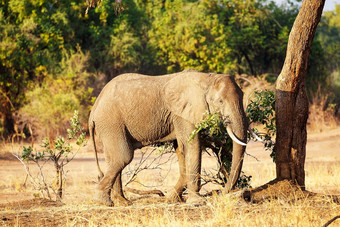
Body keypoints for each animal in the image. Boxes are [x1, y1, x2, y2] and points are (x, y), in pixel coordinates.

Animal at [89, 69, 250, 206]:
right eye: (220, 102)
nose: (222, 192)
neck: (206, 79)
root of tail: (94, 107)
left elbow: (180, 148)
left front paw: (172, 198)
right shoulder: (182, 113)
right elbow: (192, 145)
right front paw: (196, 202)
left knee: (113, 158)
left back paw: (122, 202)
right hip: (111, 122)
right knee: (123, 156)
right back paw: (103, 201)